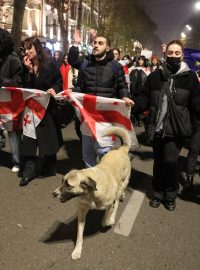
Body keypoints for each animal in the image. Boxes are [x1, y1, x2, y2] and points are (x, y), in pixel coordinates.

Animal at [52, 126, 131, 260]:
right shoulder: (82, 212)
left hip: (122, 185)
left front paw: (108, 221)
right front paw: (77, 250)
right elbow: (79, 235)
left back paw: (113, 215)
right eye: (62, 182)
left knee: (117, 202)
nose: (54, 193)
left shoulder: (108, 204)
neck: (90, 193)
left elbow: (105, 218)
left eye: (69, 186)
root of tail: (122, 149)